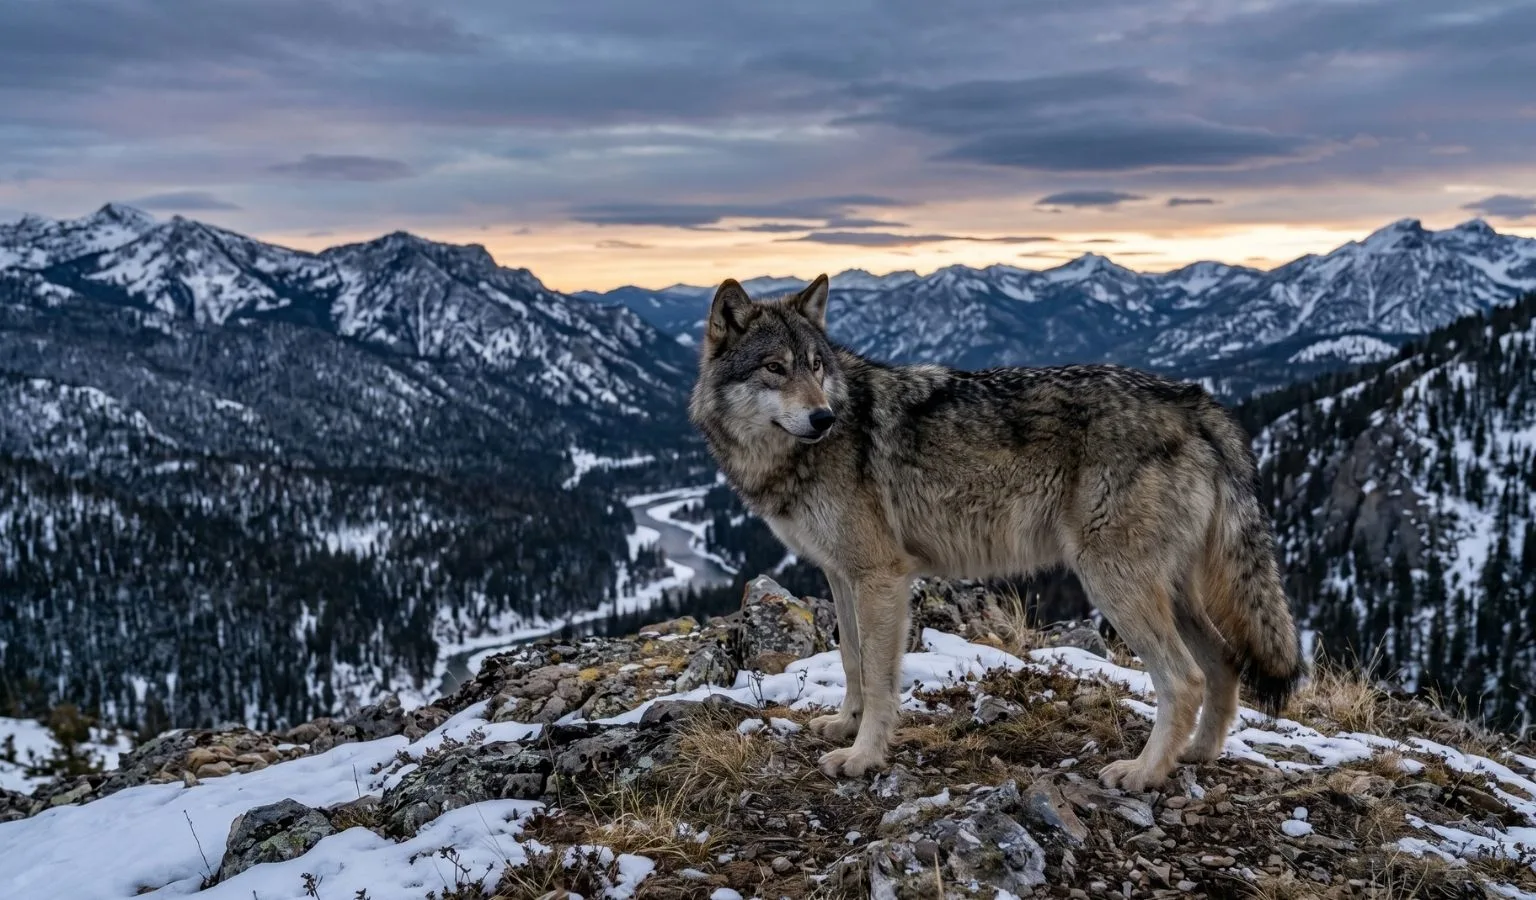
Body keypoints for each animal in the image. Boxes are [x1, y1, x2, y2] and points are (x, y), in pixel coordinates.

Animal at [687, 274, 1304, 790]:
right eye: (775, 367)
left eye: (816, 365)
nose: (824, 418)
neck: (791, 460)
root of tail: (1195, 401)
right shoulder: (841, 576)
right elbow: (851, 662)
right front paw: (844, 727)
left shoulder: (881, 577)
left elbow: (880, 677)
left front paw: (864, 757)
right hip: (1170, 589)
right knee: (1223, 661)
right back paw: (1196, 754)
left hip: (1113, 583)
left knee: (1185, 679)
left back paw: (1144, 773)